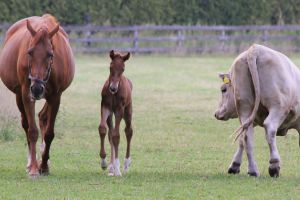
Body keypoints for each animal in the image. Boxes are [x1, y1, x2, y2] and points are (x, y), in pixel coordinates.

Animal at [0, 14, 74, 177]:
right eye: (29, 52)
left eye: (50, 54)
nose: (37, 89)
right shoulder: (27, 95)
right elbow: (32, 131)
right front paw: (34, 168)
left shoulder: (55, 97)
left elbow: (49, 133)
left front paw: (44, 165)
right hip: (19, 96)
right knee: (26, 124)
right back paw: (30, 163)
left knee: (42, 116)